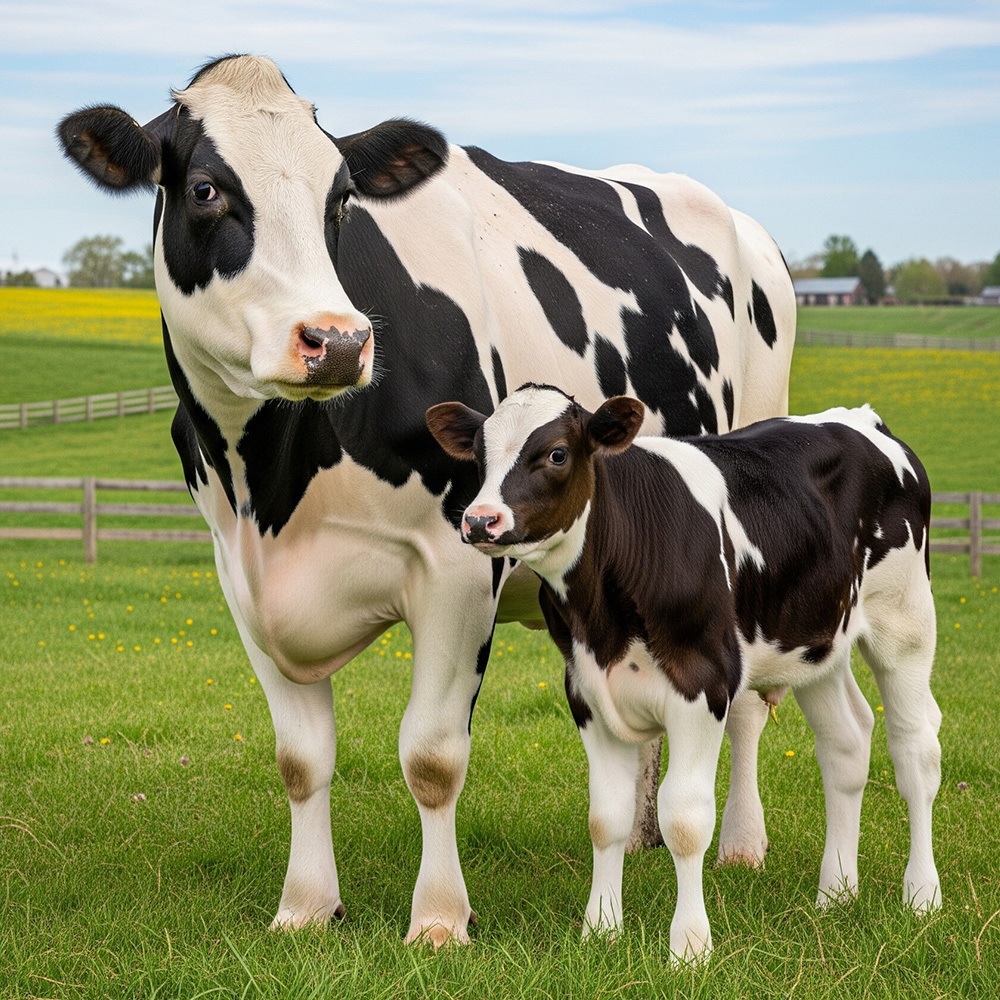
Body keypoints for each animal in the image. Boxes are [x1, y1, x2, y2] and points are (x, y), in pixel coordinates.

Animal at [57, 54, 795, 946]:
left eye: (341, 196)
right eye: (204, 189)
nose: (339, 341)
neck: (271, 480)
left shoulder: (457, 564)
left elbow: (433, 757)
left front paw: (440, 920)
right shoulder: (241, 577)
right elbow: (301, 760)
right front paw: (305, 908)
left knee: (750, 701)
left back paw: (743, 846)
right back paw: (648, 834)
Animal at [426, 384, 941, 960]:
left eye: (557, 453)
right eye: (478, 453)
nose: (480, 520)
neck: (602, 615)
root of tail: (860, 418)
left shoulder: (703, 686)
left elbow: (686, 819)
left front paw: (690, 947)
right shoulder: (586, 692)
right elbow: (606, 816)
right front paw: (601, 930)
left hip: (905, 620)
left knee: (916, 750)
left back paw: (921, 896)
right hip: (816, 644)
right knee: (846, 745)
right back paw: (836, 894)